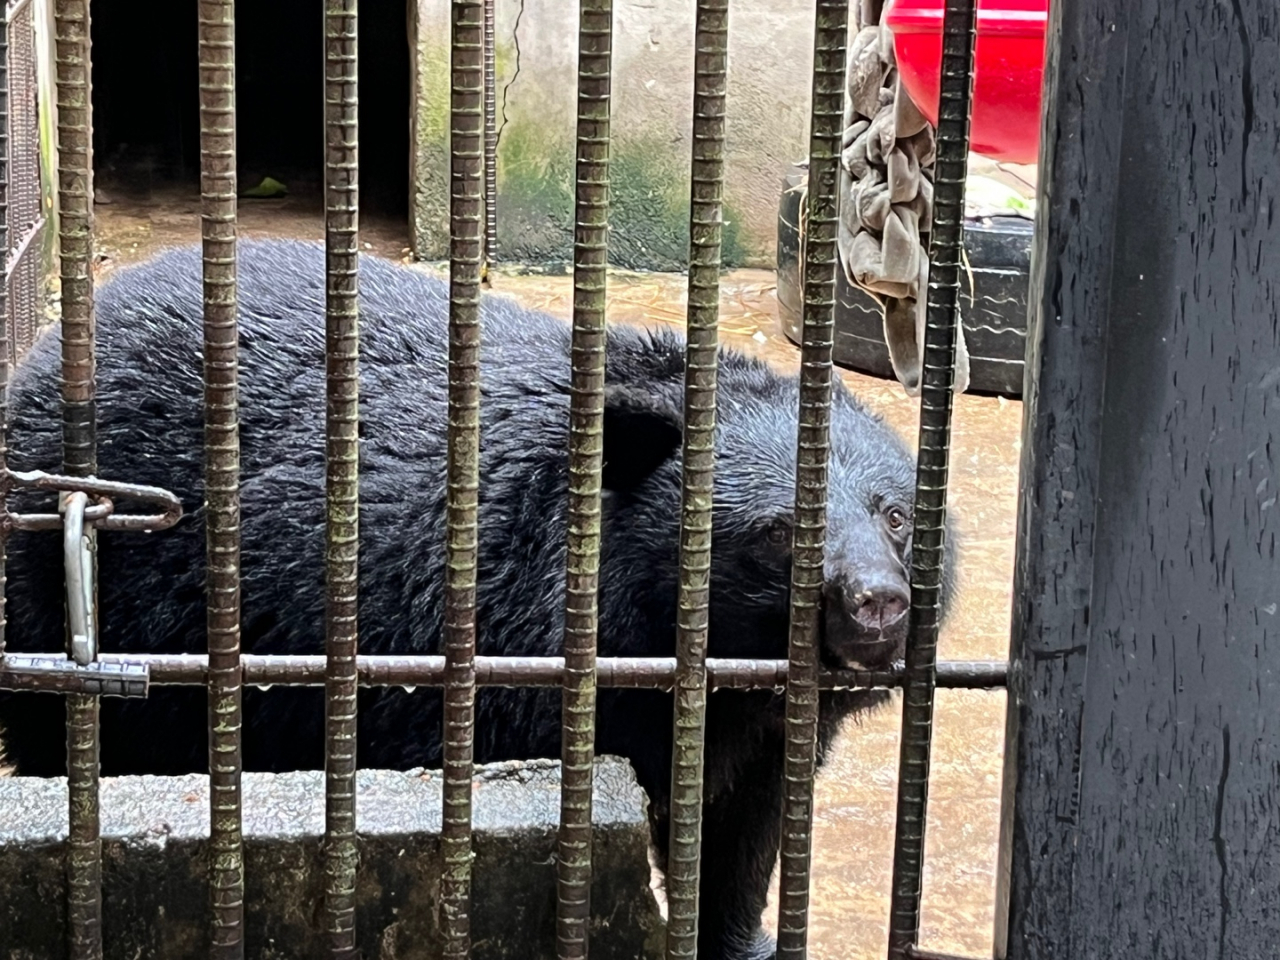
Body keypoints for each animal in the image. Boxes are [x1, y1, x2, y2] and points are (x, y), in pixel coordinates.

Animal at [0, 240, 952, 960]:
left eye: (897, 516)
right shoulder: (509, 646)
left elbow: (741, 831)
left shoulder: (765, 725)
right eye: (779, 533)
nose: (876, 606)